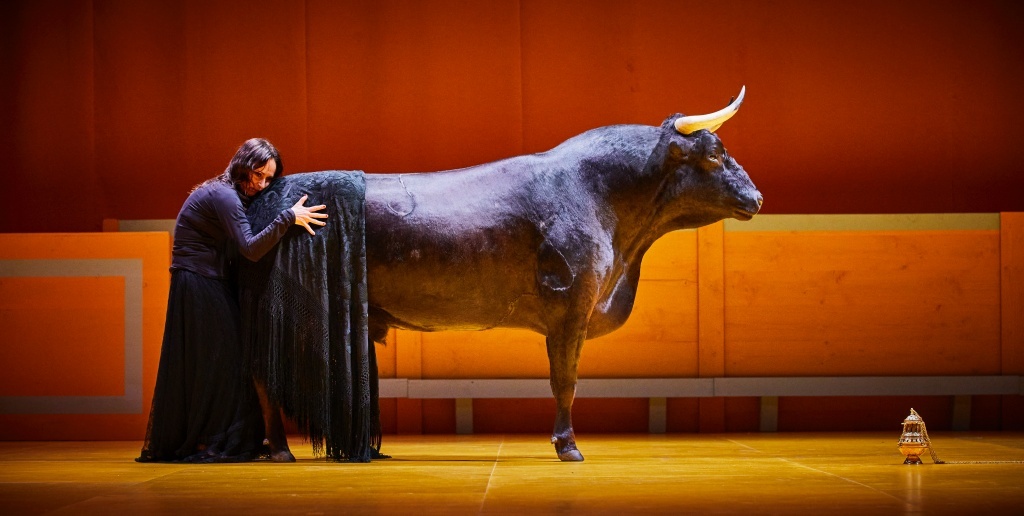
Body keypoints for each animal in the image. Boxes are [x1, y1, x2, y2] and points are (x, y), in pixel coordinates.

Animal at [256, 86, 761, 460]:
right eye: (714, 156)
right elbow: (565, 381)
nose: (756, 198)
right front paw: (568, 446)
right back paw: (280, 449)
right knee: (265, 376)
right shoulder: (570, 311)